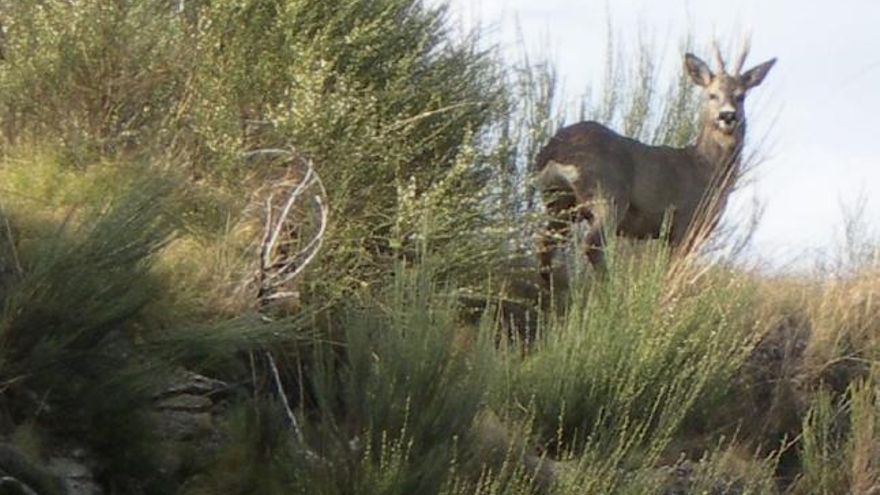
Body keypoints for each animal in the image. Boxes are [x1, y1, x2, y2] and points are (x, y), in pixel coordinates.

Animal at [536, 41, 776, 280]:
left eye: (741, 96)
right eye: (712, 95)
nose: (727, 116)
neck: (707, 169)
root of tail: (553, 149)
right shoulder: (684, 223)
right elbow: (672, 270)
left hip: (559, 201)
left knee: (546, 244)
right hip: (607, 195)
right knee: (592, 244)